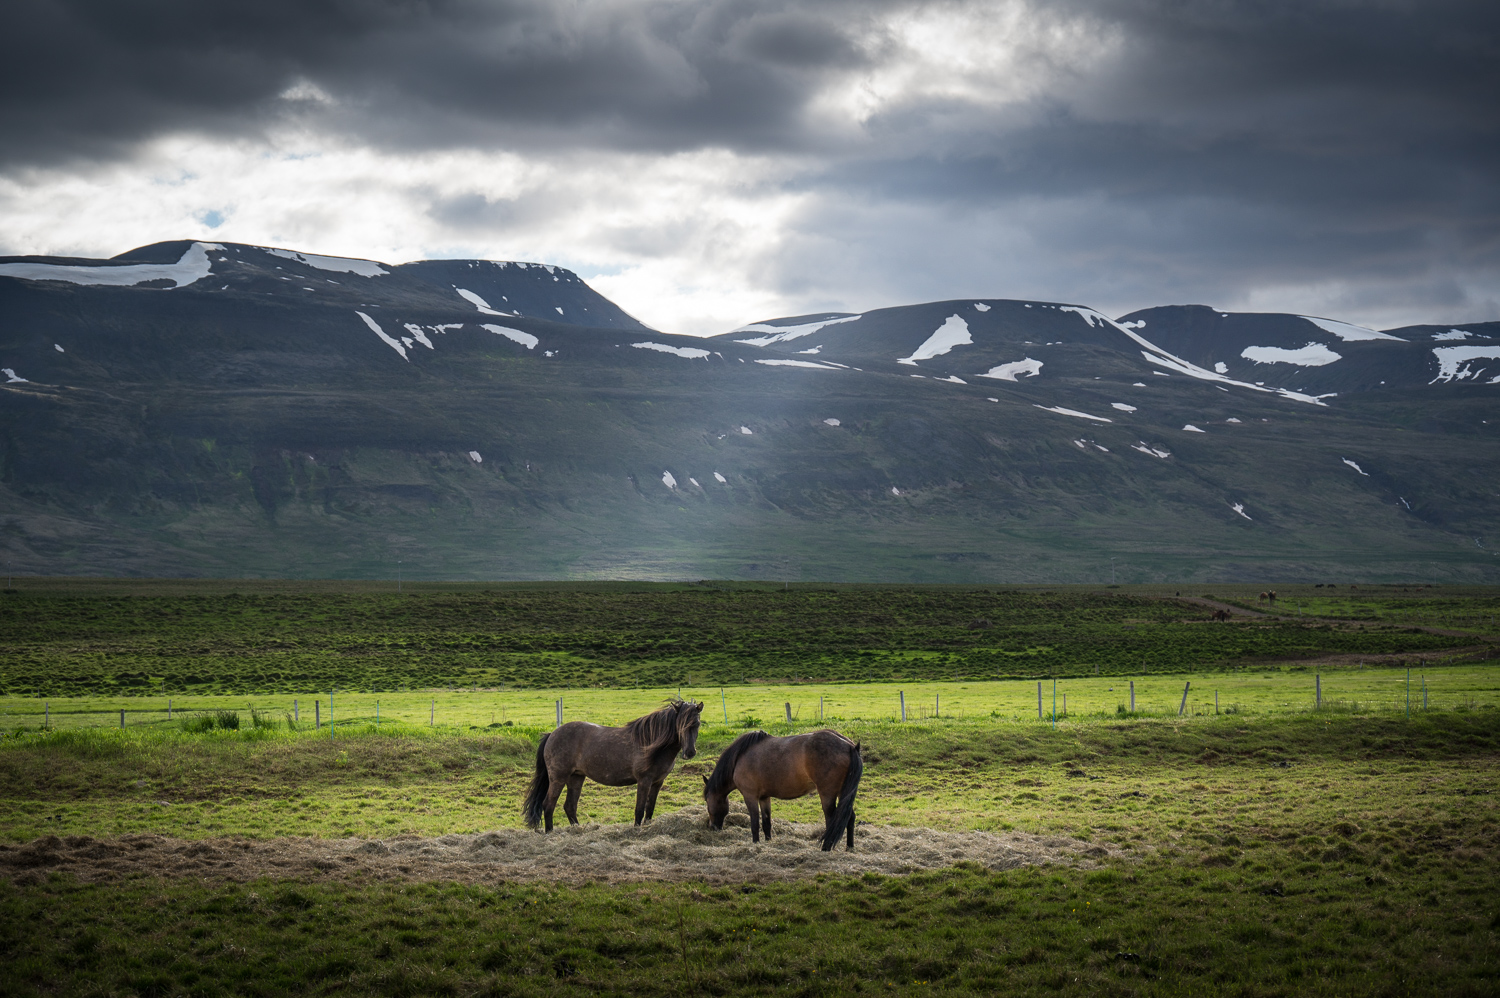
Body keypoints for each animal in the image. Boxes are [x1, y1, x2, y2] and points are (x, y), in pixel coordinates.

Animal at [522, 696, 702, 828]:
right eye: (681, 724)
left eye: (698, 724)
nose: (690, 752)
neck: (652, 744)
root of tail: (552, 734)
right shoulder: (644, 781)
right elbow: (639, 810)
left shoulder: (658, 782)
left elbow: (649, 811)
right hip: (558, 778)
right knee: (548, 805)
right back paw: (550, 832)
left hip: (576, 777)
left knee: (570, 806)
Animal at [699, 723, 864, 846]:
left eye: (707, 801)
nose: (712, 827)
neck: (739, 758)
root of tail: (850, 746)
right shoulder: (764, 797)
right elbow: (766, 823)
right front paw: (767, 842)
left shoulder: (750, 796)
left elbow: (754, 823)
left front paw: (755, 844)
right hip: (842, 794)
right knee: (849, 817)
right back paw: (849, 847)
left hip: (827, 795)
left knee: (831, 820)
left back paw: (826, 848)